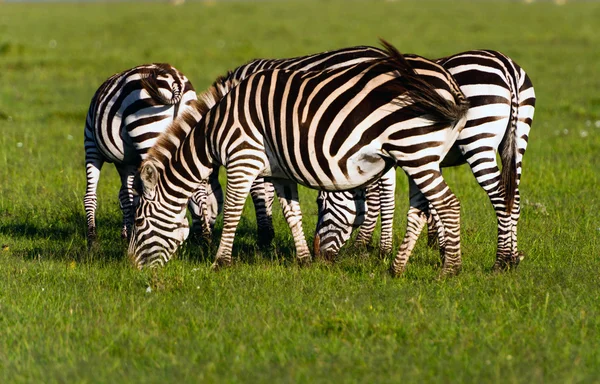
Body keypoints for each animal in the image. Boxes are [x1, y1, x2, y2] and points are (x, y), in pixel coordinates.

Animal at [82, 63, 198, 248]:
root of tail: (174, 80)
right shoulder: (128, 162)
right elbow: (128, 196)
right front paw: (127, 233)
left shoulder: (91, 145)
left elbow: (94, 196)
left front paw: (93, 239)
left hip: (147, 132)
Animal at [129, 40, 472, 276]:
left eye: (139, 221)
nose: (130, 267)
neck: (215, 129)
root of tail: (448, 81)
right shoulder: (279, 172)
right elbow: (292, 214)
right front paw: (305, 260)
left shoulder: (242, 160)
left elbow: (233, 213)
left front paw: (220, 262)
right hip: (421, 152)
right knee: (420, 209)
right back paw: (397, 268)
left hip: (414, 150)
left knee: (447, 204)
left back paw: (449, 270)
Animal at [314, 50, 536, 272]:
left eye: (320, 203)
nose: (319, 256)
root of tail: (506, 66)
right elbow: (430, 203)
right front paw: (441, 247)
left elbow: (382, 198)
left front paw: (371, 248)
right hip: (517, 142)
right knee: (513, 197)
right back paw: (513, 258)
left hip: (477, 139)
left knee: (500, 196)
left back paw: (501, 261)